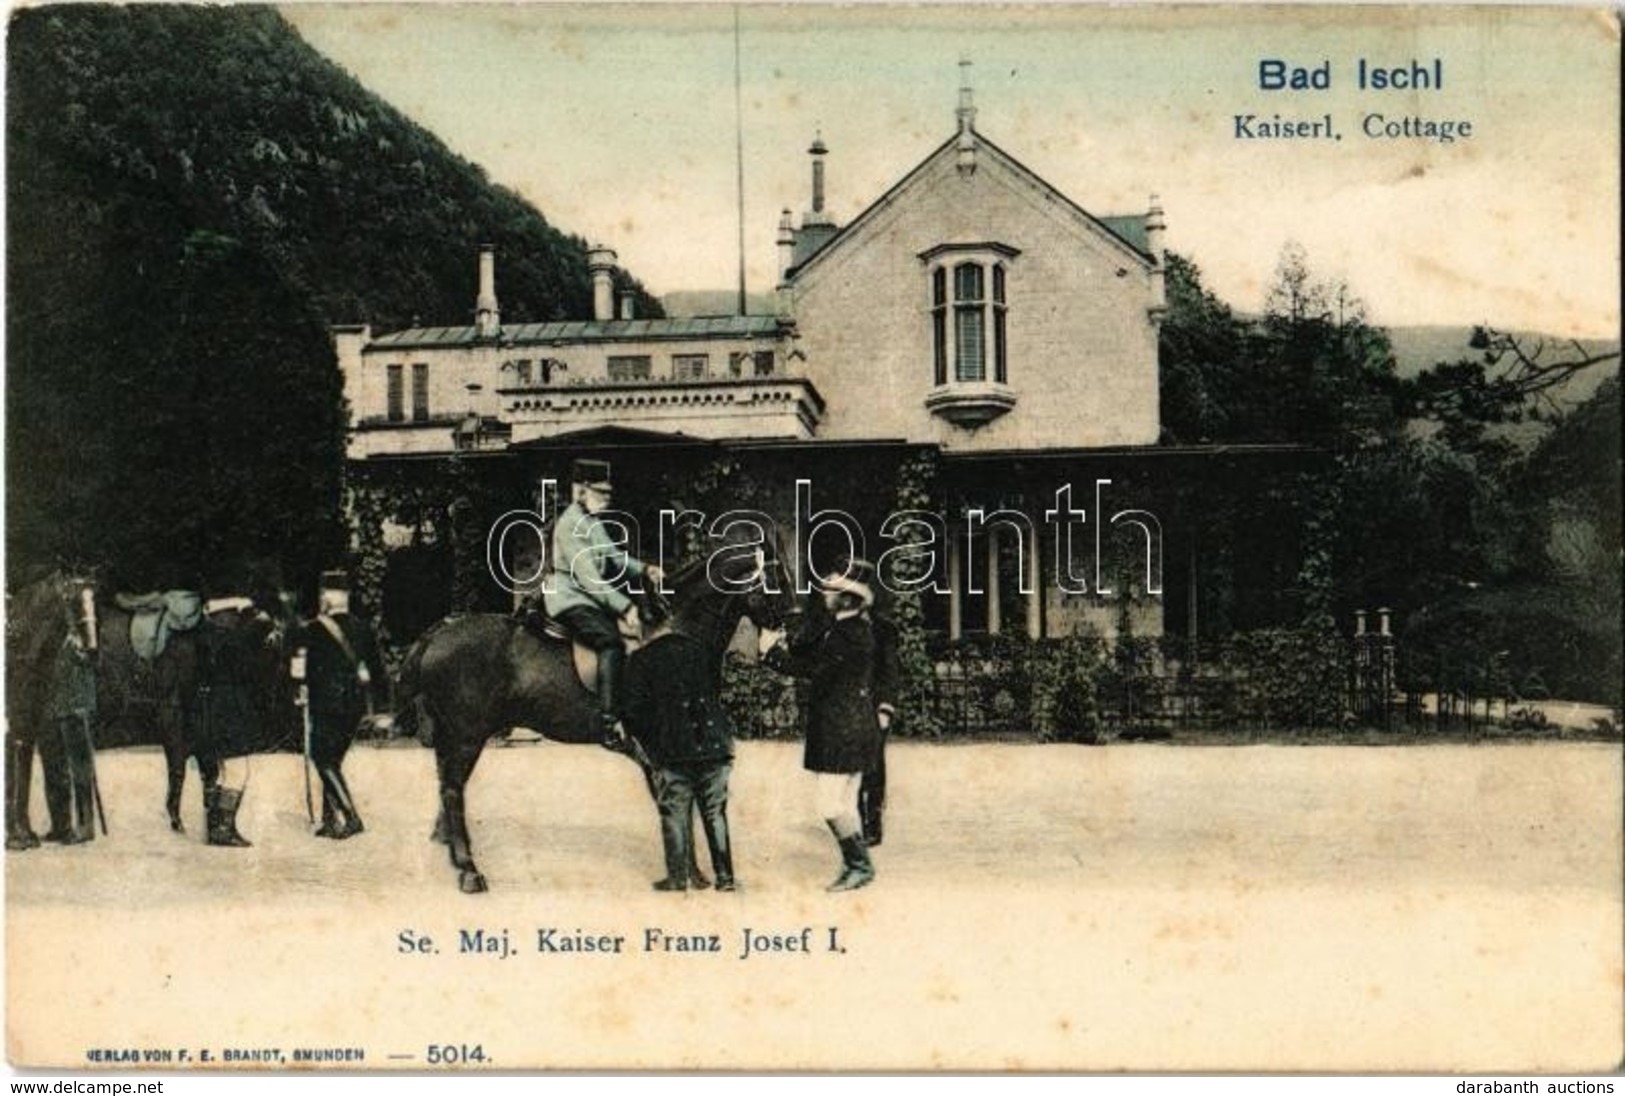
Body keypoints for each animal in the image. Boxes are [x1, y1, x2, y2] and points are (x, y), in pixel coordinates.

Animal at [399, 536, 793, 884]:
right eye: (777, 578)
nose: (788, 630)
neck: (674, 632)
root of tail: (438, 633)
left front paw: (694, 873)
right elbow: (679, 803)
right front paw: (691, 874)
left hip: (453, 736)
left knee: (446, 785)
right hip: (466, 735)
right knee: (453, 790)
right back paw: (469, 870)